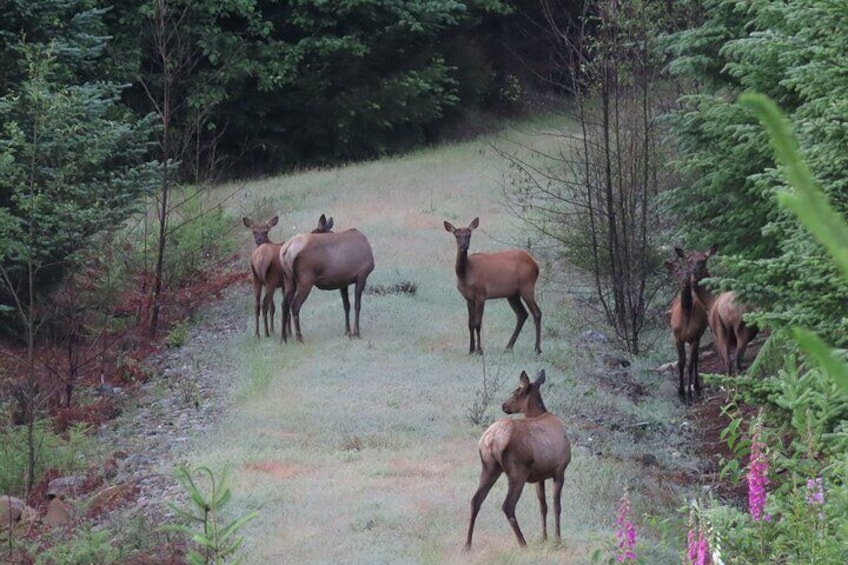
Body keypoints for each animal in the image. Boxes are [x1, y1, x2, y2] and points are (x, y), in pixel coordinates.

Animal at [444, 218, 544, 354]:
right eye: (457, 236)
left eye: (469, 235)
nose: (464, 246)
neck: (466, 274)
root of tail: (536, 265)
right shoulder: (468, 298)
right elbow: (470, 324)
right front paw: (471, 350)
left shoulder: (481, 294)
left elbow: (477, 323)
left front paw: (479, 351)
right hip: (512, 294)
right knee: (522, 314)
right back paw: (509, 347)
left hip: (527, 286)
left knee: (537, 313)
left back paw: (537, 349)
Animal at [468, 368, 572, 548]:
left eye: (516, 393)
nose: (504, 405)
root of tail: (491, 439)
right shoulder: (560, 470)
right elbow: (557, 506)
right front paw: (557, 540)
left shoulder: (540, 476)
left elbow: (543, 506)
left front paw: (544, 538)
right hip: (517, 470)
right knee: (508, 505)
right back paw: (523, 543)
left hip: (489, 467)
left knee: (476, 499)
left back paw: (467, 545)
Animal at [664, 249, 712, 404]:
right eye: (677, 272)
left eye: (690, 271)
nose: (686, 281)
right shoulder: (677, 337)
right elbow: (680, 363)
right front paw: (680, 392)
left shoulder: (695, 337)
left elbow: (690, 364)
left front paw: (689, 395)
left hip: (699, 335)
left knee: (696, 358)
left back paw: (696, 387)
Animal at [684, 245, 760, 376]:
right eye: (689, 261)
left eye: (703, 260)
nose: (695, 271)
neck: (709, 299)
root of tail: (730, 308)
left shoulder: (714, 332)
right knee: (735, 359)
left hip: (725, 329)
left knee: (731, 361)